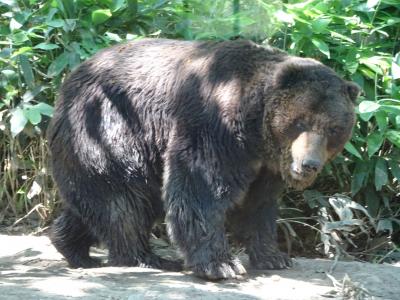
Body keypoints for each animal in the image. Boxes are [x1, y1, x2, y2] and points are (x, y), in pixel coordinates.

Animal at [47, 38, 360, 280]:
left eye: (334, 129)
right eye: (299, 122)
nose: (309, 164)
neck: (256, 132)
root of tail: (66, 83)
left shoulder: (264, 167)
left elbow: (257, 205)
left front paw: (275, 256)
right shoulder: (214, 128)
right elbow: (200, 188)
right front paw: (221, 264)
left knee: (99, 202)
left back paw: (72, 247)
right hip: (108, 129)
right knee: (126, 198)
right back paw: (146, 258)